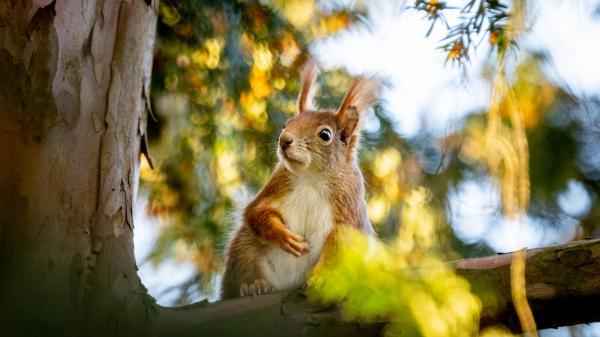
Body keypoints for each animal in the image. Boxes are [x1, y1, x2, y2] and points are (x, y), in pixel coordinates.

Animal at [220, 61, 380, 300]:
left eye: (325, 134)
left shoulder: (349, 205)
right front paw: (284, 236)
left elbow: (339, 243)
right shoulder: (277, 185)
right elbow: (256, 212)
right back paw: (254, 286)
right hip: (245, 248)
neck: (311, 177)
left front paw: (321, 278)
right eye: (286, 124)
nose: (284, 140)